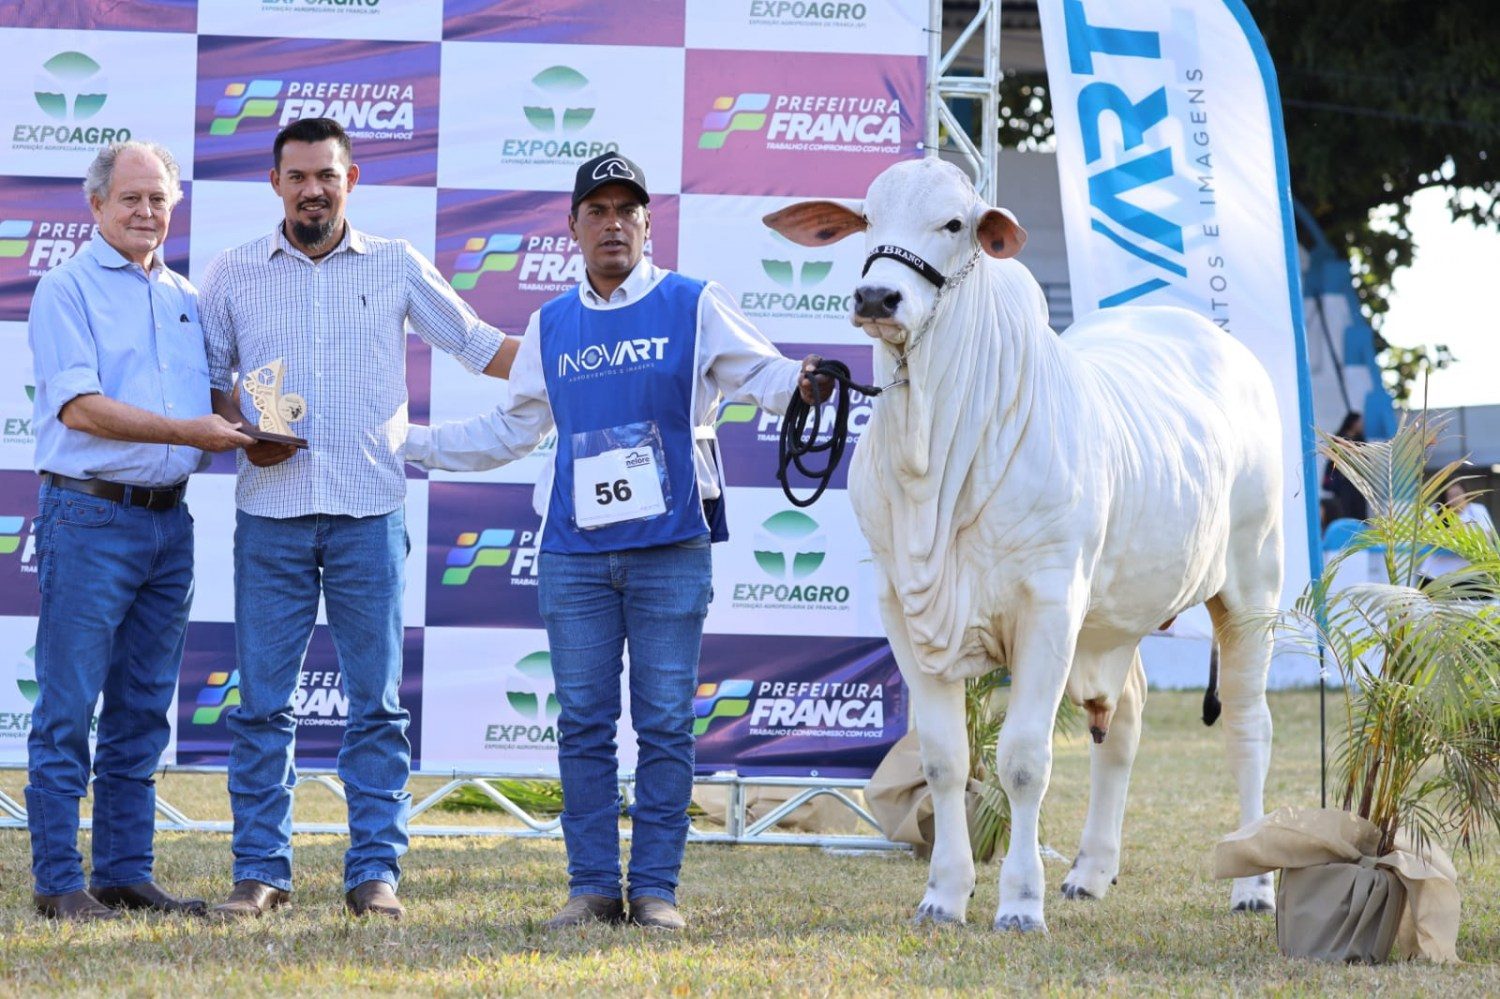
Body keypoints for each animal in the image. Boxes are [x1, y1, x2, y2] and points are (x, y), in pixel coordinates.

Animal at [768, 159, 1284, 930]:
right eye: (867, 218)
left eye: (955, 223)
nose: (877, 295)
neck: (932, 454)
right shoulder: (903, 609)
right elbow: (945, 760)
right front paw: (944, 895)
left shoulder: (1049, 604)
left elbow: (1021, 760)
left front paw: (1017, 902)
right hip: (1114, 614)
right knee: (1125, 719)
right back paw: (1092, 871)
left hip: (1252, 583)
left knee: (1249, 724)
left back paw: (1252, 882)